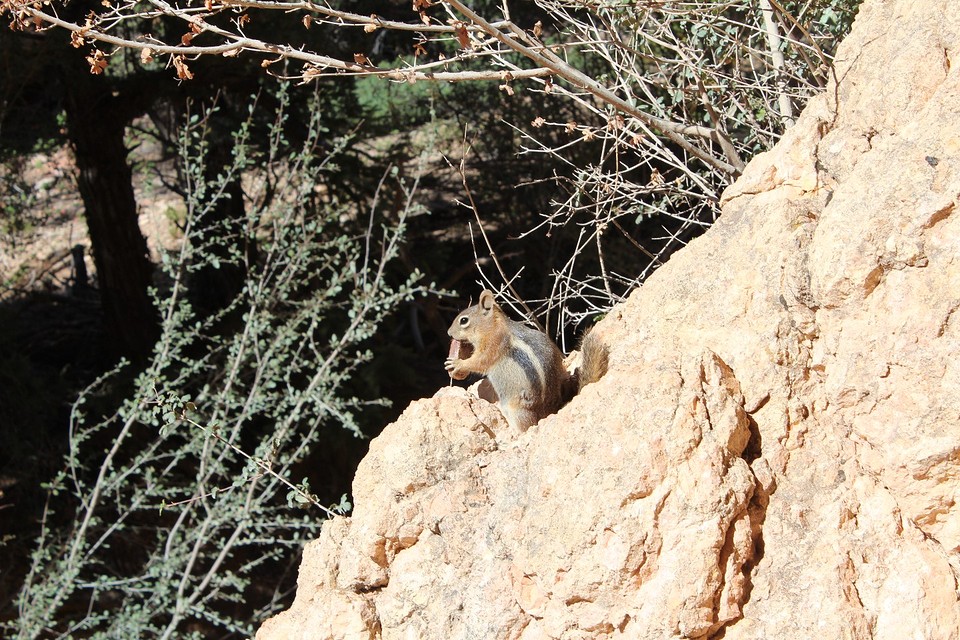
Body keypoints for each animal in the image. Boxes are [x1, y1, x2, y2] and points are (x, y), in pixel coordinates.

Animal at [445, 289, 608, 431]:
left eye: (464, 320)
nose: (449, 333)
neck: (493, 325)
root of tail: (549, 410)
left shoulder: (493, 344)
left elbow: (480, 362)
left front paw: (458, 364)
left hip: (517, 409)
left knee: (526, 426)